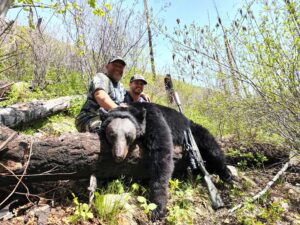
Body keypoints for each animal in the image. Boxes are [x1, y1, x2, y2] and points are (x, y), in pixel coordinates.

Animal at [99, 103, 231, 221]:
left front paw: (157, 207)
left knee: (212, 148)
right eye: (112, 135)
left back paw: (228, 175)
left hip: (196, 132)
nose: (119, 155)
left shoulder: (154, 119)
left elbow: (162, 153)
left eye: (128, 136)